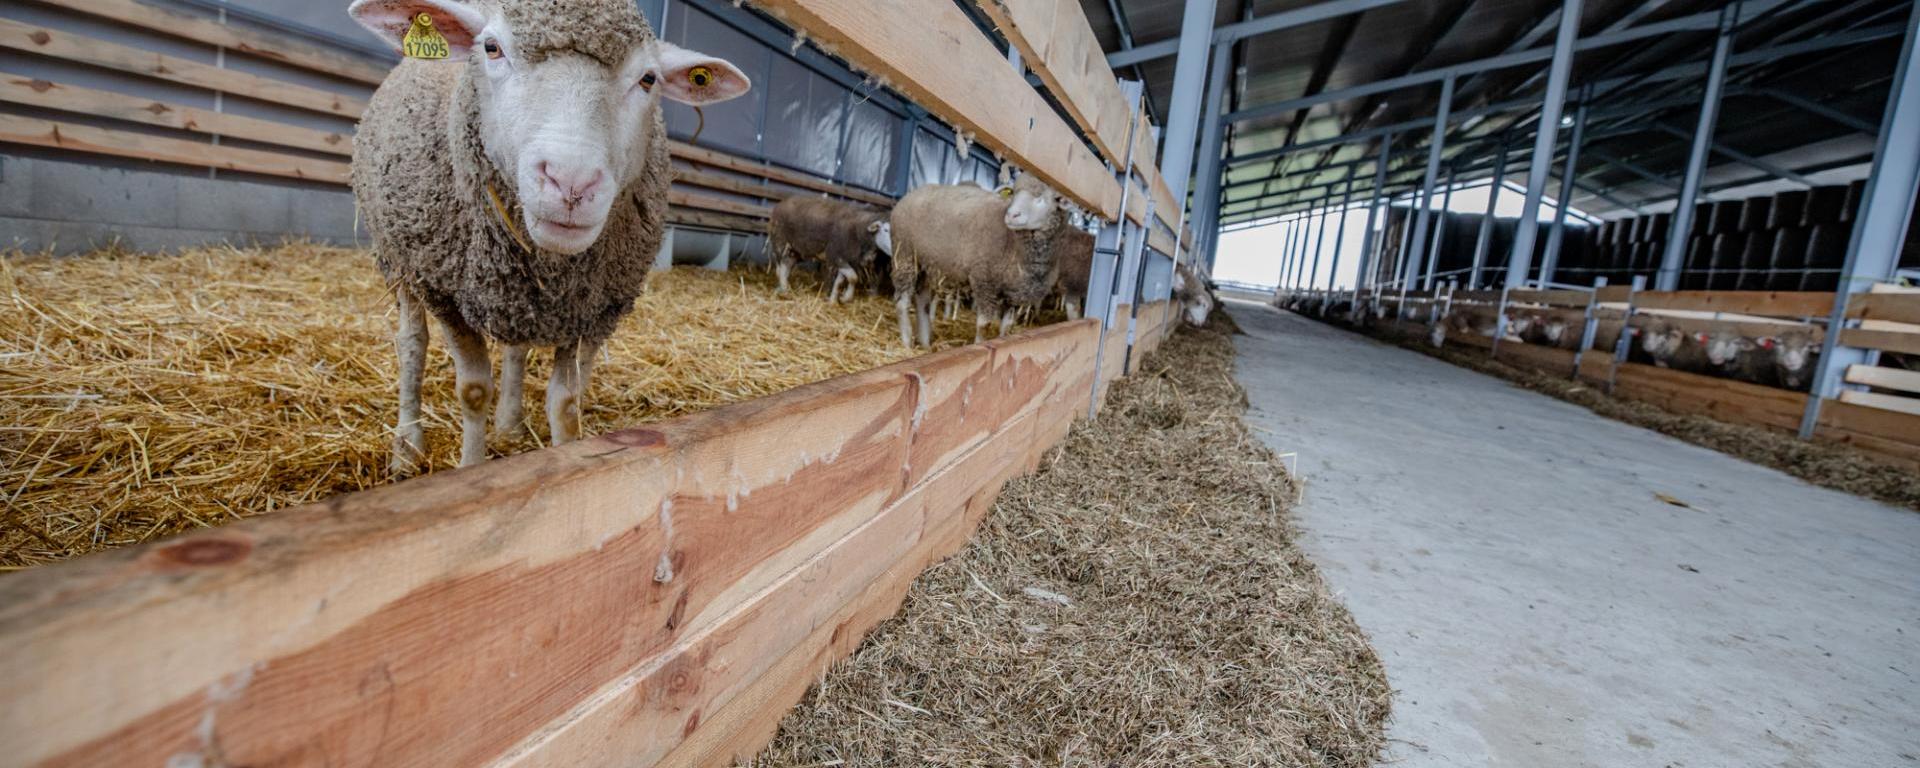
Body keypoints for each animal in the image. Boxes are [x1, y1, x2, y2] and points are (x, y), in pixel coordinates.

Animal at [894, 171, 1075, 347]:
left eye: (1041, 198)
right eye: (1014, 193)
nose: (1011, 215)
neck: (1015, 244)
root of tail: (915, 191)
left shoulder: (1014, 293)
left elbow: (1007, 327)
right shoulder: (985, 282)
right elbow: (984, 325)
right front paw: (978, 345)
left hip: (925, 263)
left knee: (922, 300)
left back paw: (925, 342)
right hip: (904, 255)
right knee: (902, 302)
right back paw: (907, 342)